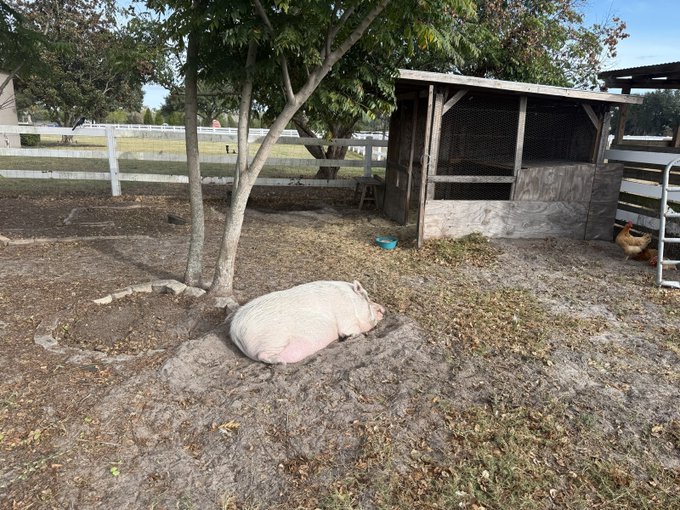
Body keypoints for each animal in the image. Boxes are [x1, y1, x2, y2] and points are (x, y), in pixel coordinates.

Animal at [229, 280, 385, 364]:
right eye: (366, 297)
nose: (383, 309)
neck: (351, 301)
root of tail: (235, 331)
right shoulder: (346, 318)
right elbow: (351, 330)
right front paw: (354, 337)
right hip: (273, 339)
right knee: (262, 355)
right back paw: (280, 362)